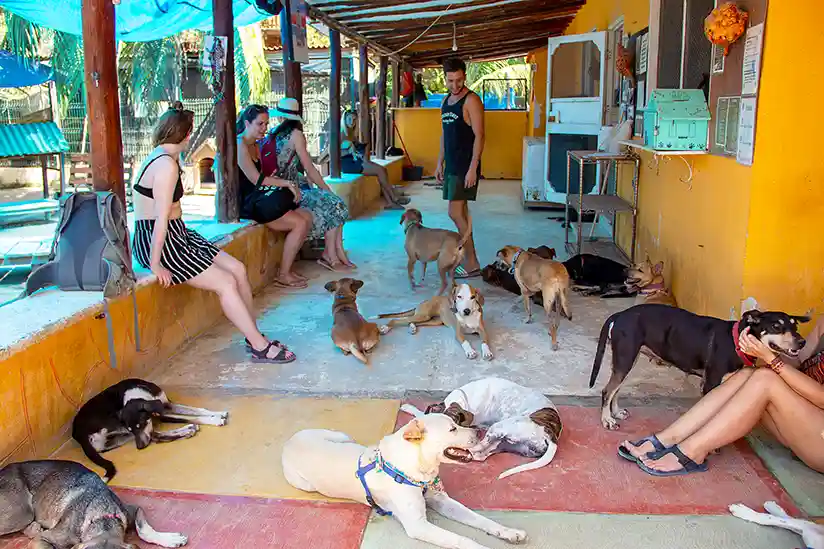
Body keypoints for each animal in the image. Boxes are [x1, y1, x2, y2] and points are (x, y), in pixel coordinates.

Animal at [0, 460, 187, 544]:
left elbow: (143, 528)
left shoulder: (132, 509)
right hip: (21, 513)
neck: (102, 517)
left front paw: (169, 539)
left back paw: (33, 528)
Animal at [73, 378, 229, 482]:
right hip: (116, 423)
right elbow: (192, 418)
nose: (140, 447)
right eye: (134, 428)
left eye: (140, 425)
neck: (140, 395)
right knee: (155, 436)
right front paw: (215, 420)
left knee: (155, 436)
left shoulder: (166, 404)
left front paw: (218, 413)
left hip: (118, 438)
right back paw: (187, 429)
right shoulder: (163, 415)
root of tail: (77, 433)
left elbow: (196, 410)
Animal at [284, 414, 528, 544]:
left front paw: (509, 532)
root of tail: (291, 440)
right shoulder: (418, 525)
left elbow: (481, 519)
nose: (480, 432)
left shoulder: (443, 501)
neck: (417, 469)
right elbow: (462, 539)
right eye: (452, 429)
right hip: (304, 484)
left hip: (342, 437)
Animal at [402, 374, 564, 478]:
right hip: (505, 443)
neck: (462, 399)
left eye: (454, 427)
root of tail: (551, 435)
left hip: (499, 427)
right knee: (481, 455)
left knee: (478, 448)